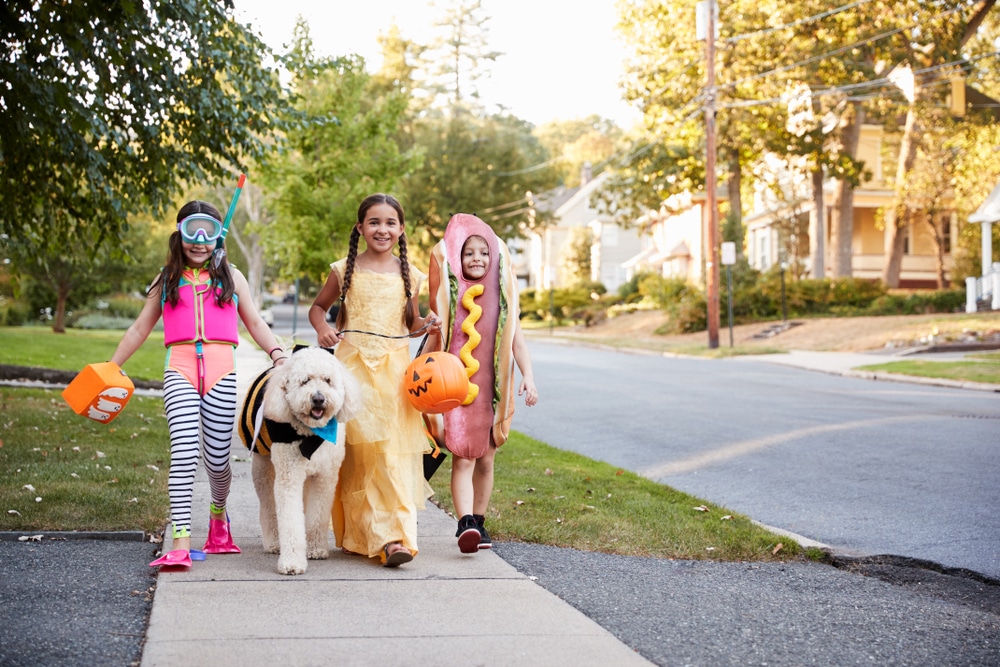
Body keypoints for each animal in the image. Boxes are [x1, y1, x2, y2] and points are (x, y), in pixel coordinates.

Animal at [238, 348, 364, 576]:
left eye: (328, 380)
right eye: (305, 381)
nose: (318, 398)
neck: (312, 433)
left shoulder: (325, 477)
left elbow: (317, 515)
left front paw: (315, 548)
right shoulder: (289, 477)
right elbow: (290, 520)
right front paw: (292, 562)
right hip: (263, 467)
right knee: (268, 506)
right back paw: (274, 542)